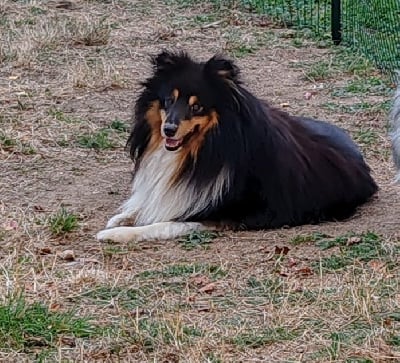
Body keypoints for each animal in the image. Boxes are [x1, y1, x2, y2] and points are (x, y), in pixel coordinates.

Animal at [96, 50, 378, 245]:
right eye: (168, 100)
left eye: (197, 106)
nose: (169, 130)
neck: (206, 147)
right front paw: (121, 217)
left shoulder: (220, 214)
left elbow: (164, 223)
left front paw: (116, 233)